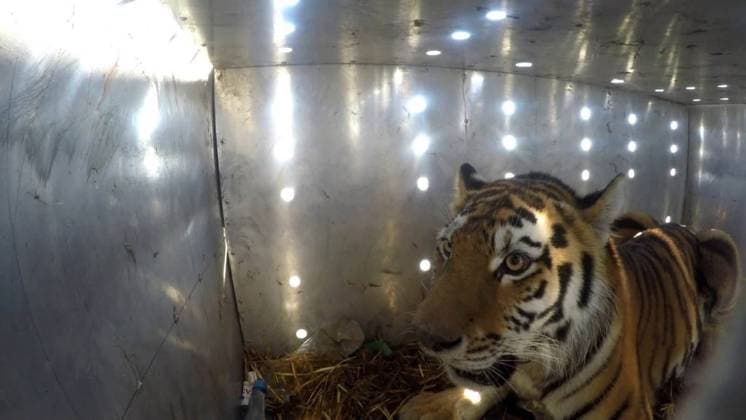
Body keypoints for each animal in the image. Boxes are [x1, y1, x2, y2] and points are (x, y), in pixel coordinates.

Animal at [399, 163, 740, 420]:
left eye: (515, 262)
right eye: (448, 249)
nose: (427, 339)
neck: (533, 370)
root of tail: (675, 225)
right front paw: (432, 407)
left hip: (721, 242)